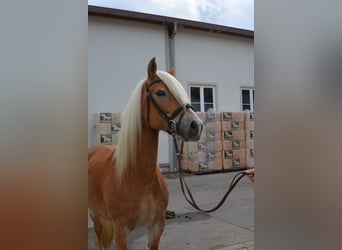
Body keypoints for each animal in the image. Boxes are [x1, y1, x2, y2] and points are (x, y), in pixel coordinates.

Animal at [89, 57, 204, 249]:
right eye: (160, 93)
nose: (196, 126)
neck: (138, 177)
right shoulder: (121, 232)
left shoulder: (157, 227)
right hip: (94, 214)